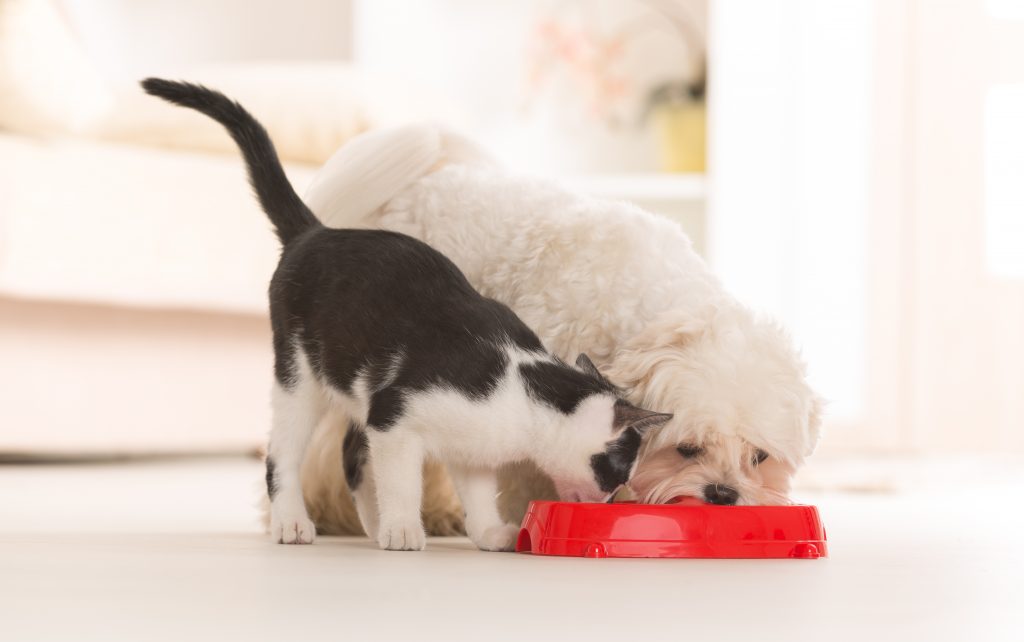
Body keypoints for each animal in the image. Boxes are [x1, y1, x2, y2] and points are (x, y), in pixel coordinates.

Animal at [142, 79, 671, 552]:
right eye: (619, 471)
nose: (612, 501)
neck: (521, 389)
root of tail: (316, 232)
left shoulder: (468, 449)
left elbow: (477, 493)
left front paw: (486, 533)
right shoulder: (394, 417)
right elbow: (400, 480)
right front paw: (403, 528)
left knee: (351, 455)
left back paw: (371, 526)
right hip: (299, 376)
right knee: (283, 455)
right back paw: (296, 523)